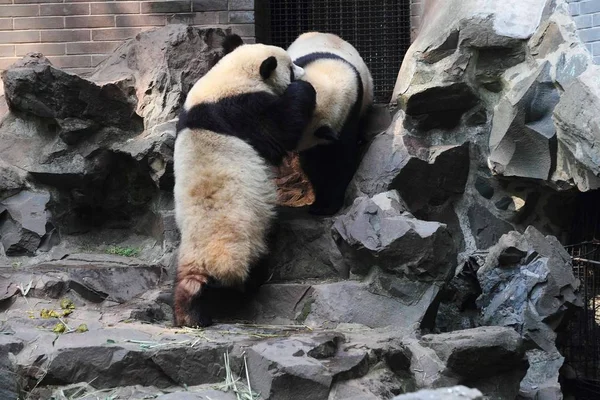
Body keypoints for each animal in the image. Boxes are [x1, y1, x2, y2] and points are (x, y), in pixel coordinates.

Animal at [172, 35, 316, 328]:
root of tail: (205, 262)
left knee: (188, 285)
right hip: (248, 237)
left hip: (189, 253)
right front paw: (303, 89)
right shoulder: (244, 111)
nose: (303, 72)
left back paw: (190, 315)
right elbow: (280, 129)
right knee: (251, 266)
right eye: (290, 67)